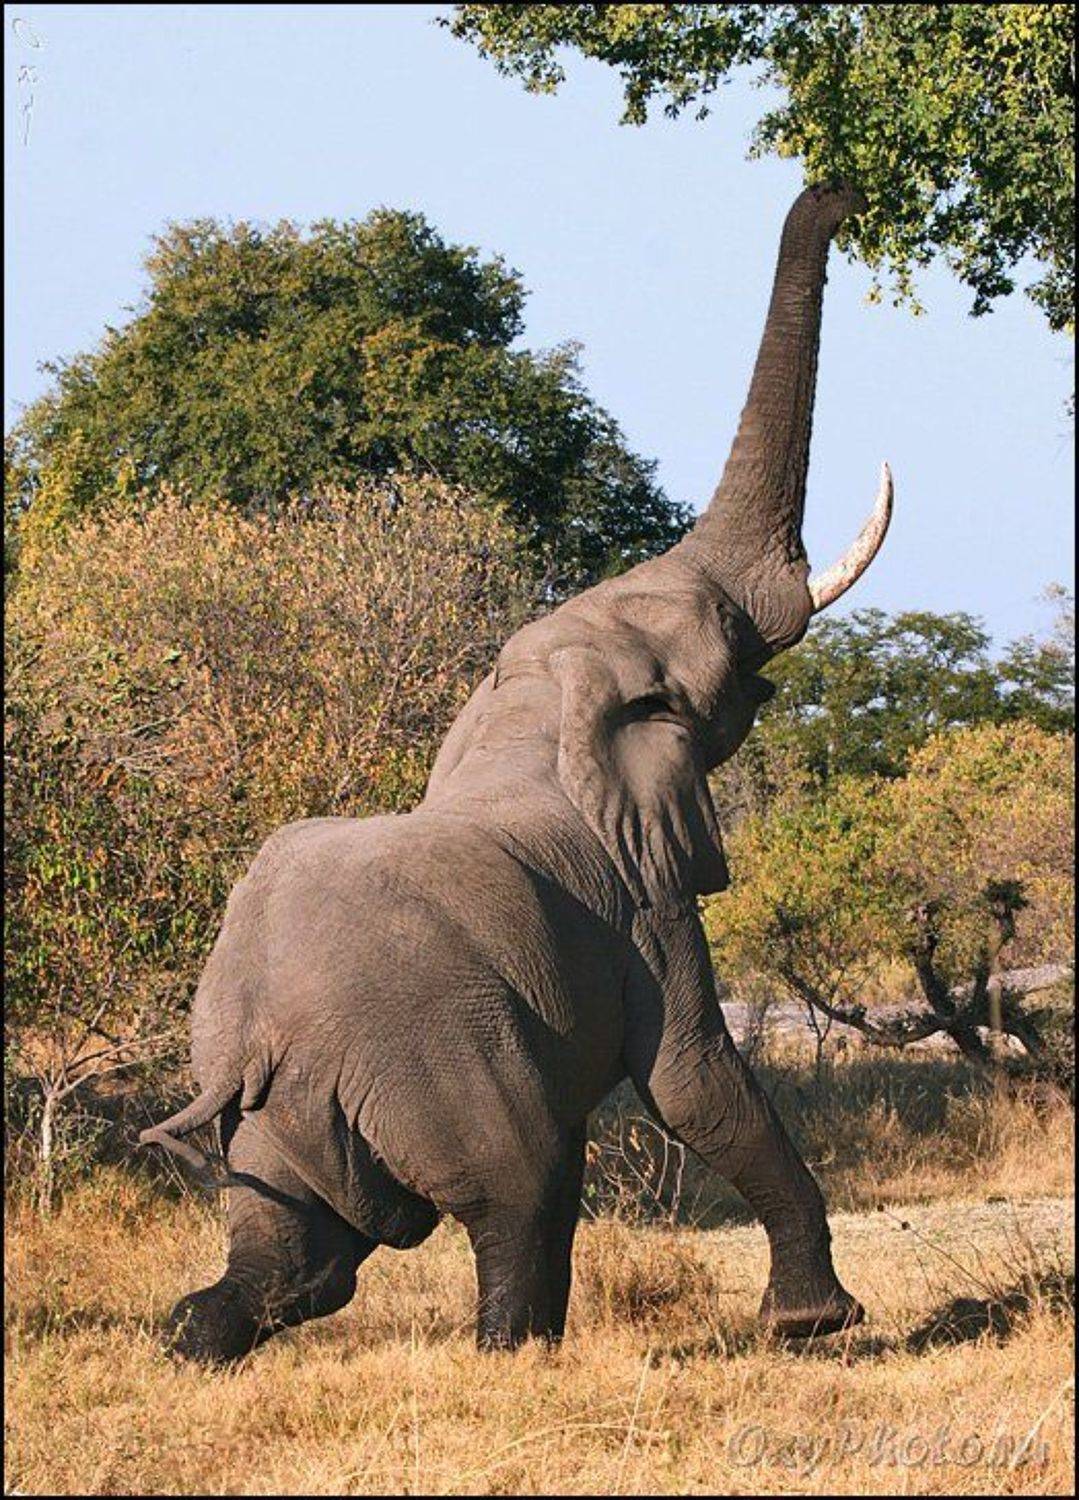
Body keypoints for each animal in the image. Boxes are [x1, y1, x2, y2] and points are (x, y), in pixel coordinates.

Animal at [142, 184, 892, 1363]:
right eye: (724, 636)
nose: (840, 192)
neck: (534, 706)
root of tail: (253, 1037)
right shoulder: (646, 904)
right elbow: (692, 1079)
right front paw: (816, 1325)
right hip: (441, 1061)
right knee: (519, 1194)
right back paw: (517, 1352)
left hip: (276, 1112)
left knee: (297, 1253)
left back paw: (189, 1340)